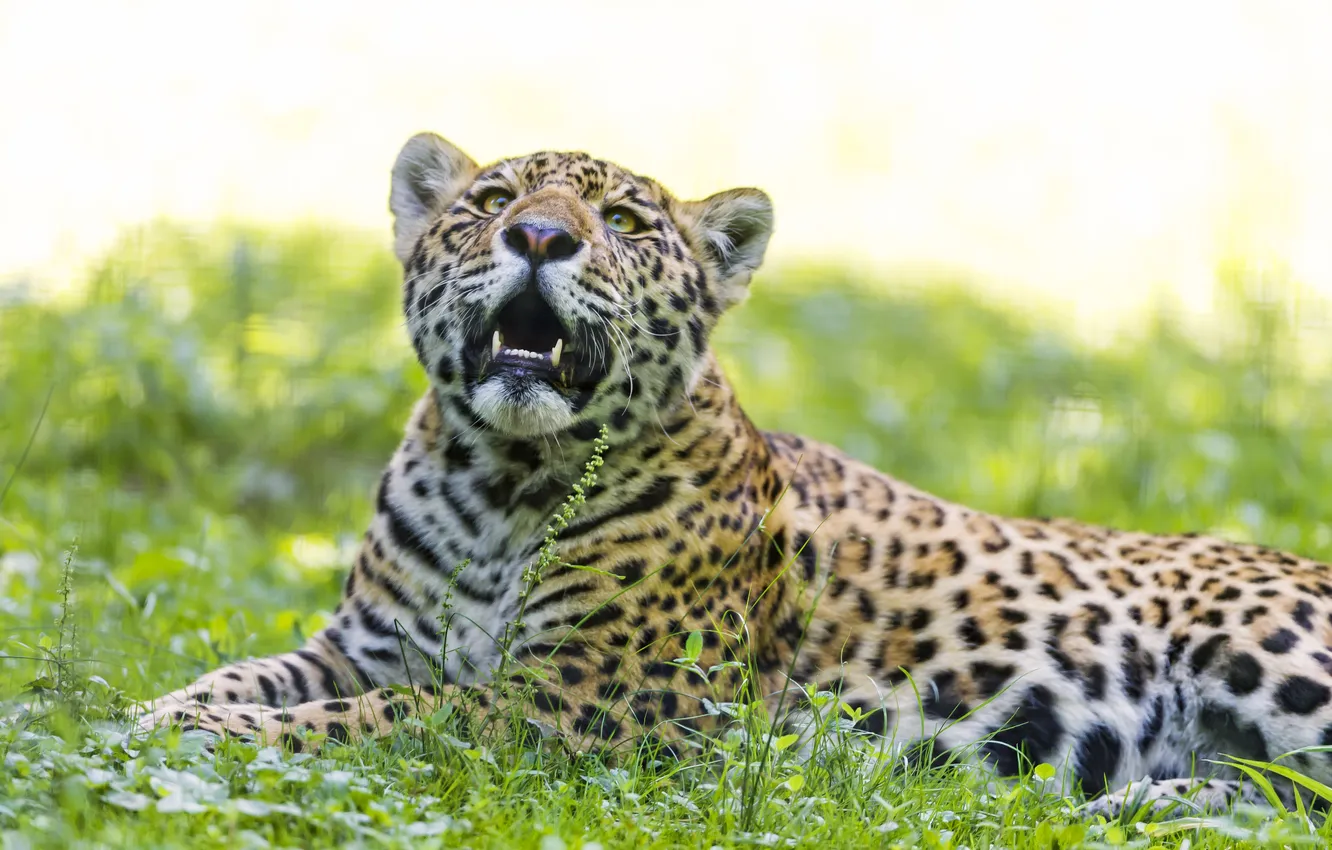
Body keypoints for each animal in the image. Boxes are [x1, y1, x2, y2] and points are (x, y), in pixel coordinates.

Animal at [142, 131, 1332, 816]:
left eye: (622, 221)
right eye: (489, 202)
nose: (539, 237)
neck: (501, 482)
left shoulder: (587, 701)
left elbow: (396, 717)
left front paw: (218, 735)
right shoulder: (363, 645)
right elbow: (259, 674)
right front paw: (161, 709)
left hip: (1269, 655)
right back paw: (1143, 812)